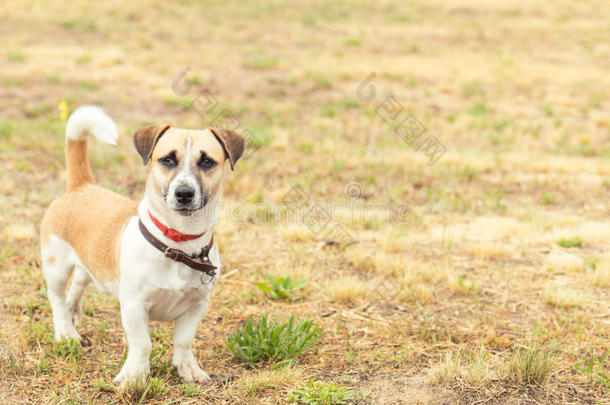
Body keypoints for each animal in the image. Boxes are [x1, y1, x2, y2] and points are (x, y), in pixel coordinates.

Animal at [39, 105, 243, 384]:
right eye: (168, 159)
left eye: (207, 161)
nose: (184, 193)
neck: (178, 244)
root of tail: (82, 186)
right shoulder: (134, 305)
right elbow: (143, 343)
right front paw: (134, 377)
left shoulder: (197, 306)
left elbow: (183, 341)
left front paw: (187, 369)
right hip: (56, 265)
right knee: (57, 297)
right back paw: (65, 332)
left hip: (88, 262)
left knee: (79, 282)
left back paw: (73, 313)